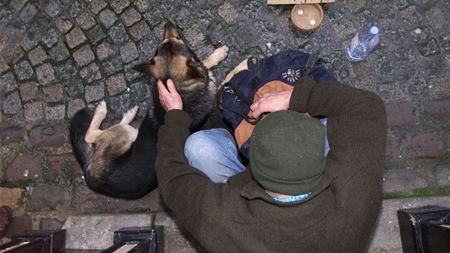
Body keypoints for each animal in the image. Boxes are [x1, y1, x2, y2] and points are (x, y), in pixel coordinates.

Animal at [70, 21, 229, 200]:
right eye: (176, 39)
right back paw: (103, 111)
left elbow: (203, 66)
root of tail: (91, 178)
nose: (167, 23)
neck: (179, 87)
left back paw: (129, 113)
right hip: (126, 133)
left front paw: (216, 55)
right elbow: (204, 66)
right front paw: (217, 55)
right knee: (90, 136)